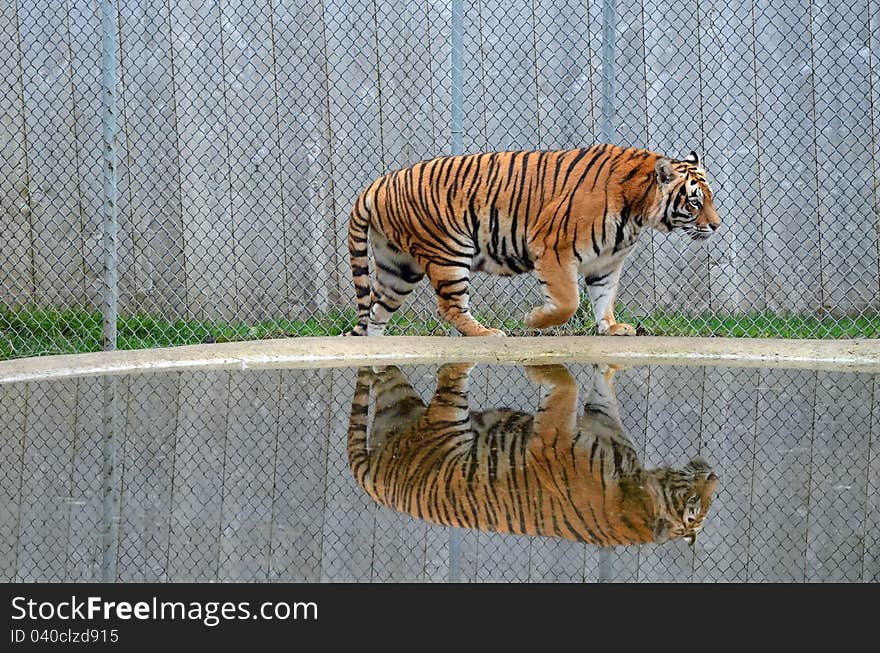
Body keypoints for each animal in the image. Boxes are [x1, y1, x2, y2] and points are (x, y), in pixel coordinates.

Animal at [348, 143, 720, 336]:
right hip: (448, 253)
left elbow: (604, 298)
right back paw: (486, 334)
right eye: (695, 202)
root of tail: (377, 183)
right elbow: (568, 302)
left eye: (710, 199)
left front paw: (612, 328)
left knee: (376, 311)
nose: (717, 226)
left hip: (399, 267)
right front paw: (533, 320)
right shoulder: (553, 249)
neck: (637, 211)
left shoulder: (607, 262)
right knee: (449, 307)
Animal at [348, 362, 720, 544]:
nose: (715, 476)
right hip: (400, 399)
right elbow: (597, 380)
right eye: (695, 503)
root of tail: (376, 479)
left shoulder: (554, 437)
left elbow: (568, 384)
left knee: (445, 373)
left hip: (440, 416)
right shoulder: (598, 417)